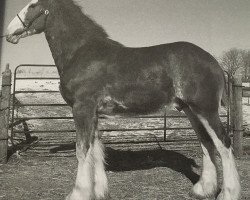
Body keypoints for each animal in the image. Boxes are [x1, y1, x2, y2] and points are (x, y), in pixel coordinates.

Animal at [5, 0, 240, 200]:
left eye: (33, 4)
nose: (8, 32)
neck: (81, 52)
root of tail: (214, 62)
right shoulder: (93, 113)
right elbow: (96, 150)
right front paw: (99, 192)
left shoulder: (82, 109)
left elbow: (82, 151)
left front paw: (79, 193)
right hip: (191, 111)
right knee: (207, 144)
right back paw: (202, 190)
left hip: (206, 110)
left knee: (223, 143)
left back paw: (228, 193)